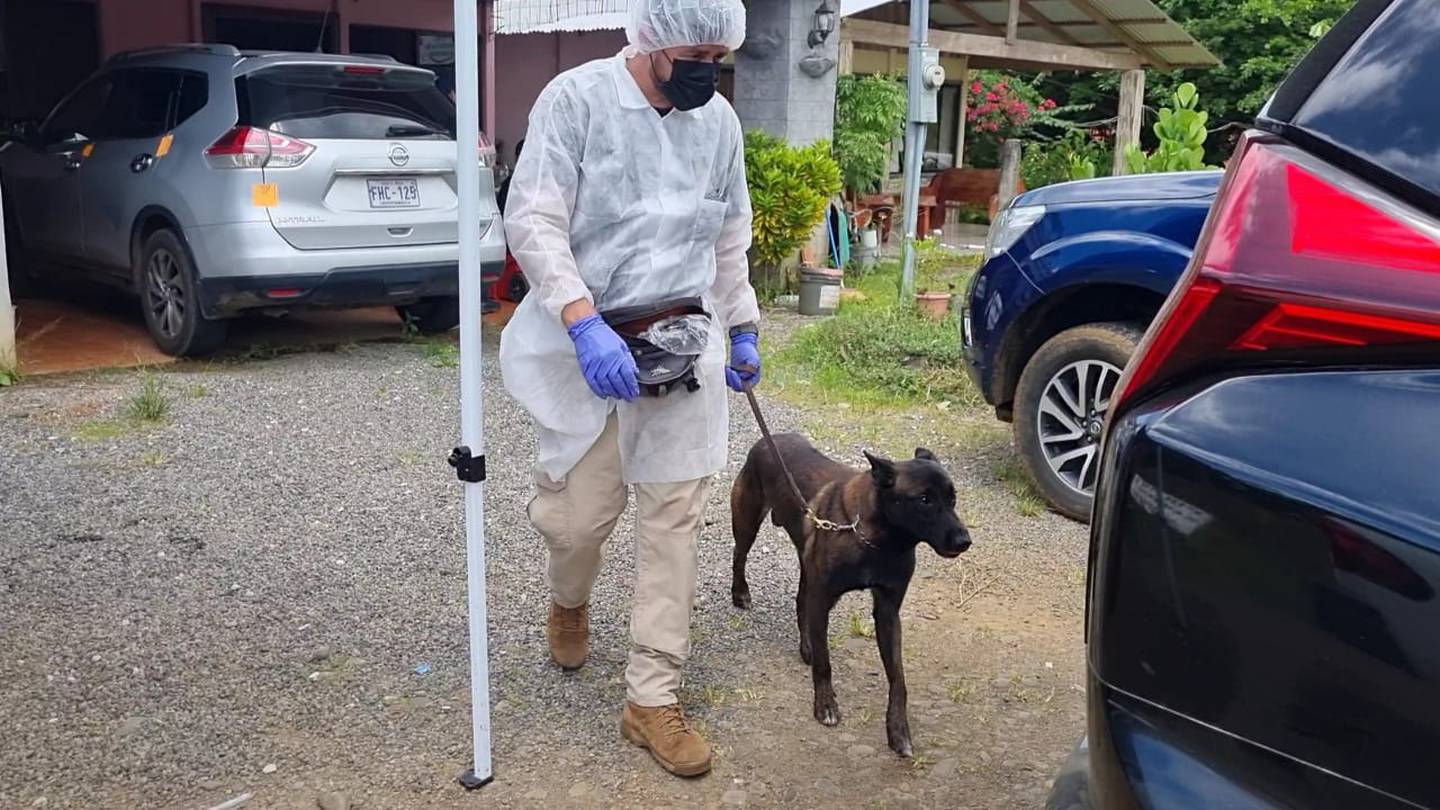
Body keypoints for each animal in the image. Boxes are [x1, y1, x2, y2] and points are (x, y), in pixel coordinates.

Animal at [725, 432, 973, 755]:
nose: (964, 540)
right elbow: (825, 663)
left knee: (801, 601)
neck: (880, 541)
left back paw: (806, 645)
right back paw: (740, 592)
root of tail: (770, 439)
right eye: (924, 500)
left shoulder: (887, 612)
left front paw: (898, 730)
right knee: (739, 555)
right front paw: (826, 705)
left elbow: (898, 679)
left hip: (807, 563)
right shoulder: (823, 599)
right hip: (747, 521)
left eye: (952, 498)